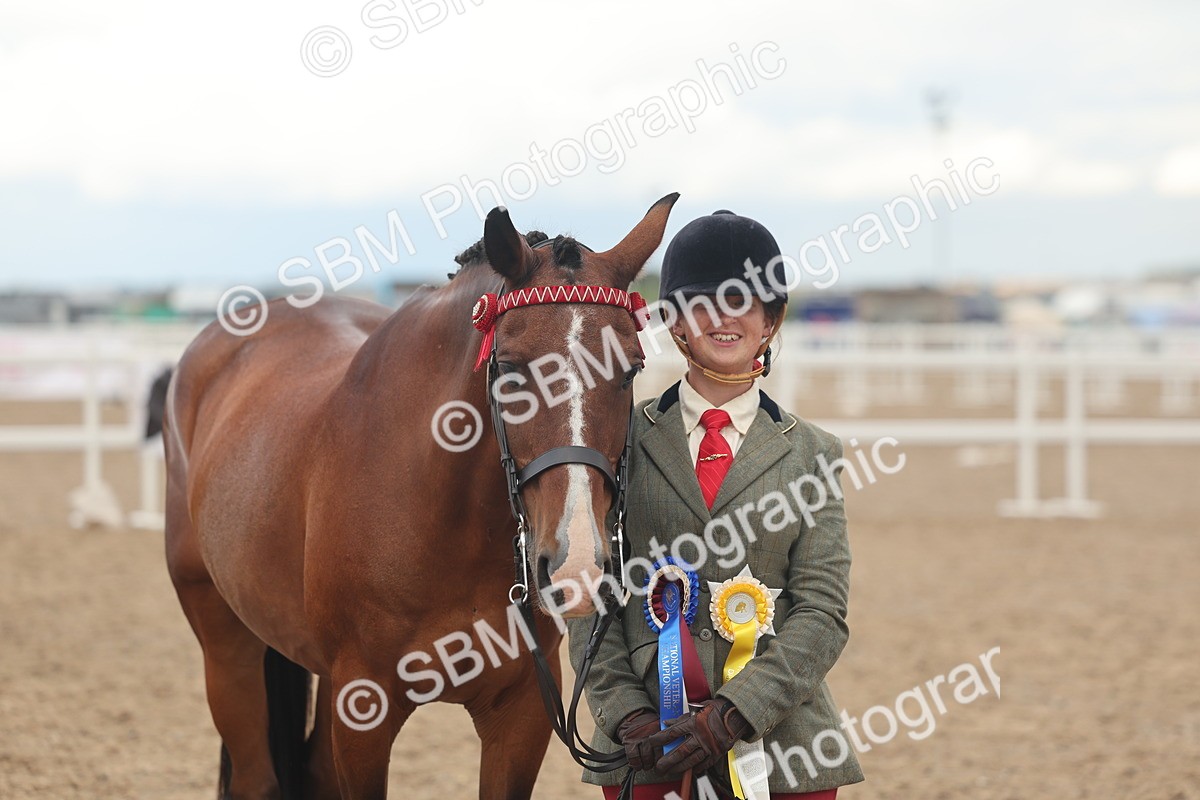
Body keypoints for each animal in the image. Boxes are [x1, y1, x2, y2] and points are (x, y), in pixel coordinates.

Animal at [162, 193, 679, 799]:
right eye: (508, 371)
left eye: (631, 370)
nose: (576, 565)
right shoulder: (361, 709)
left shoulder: (522, 714)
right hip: (226, 647)